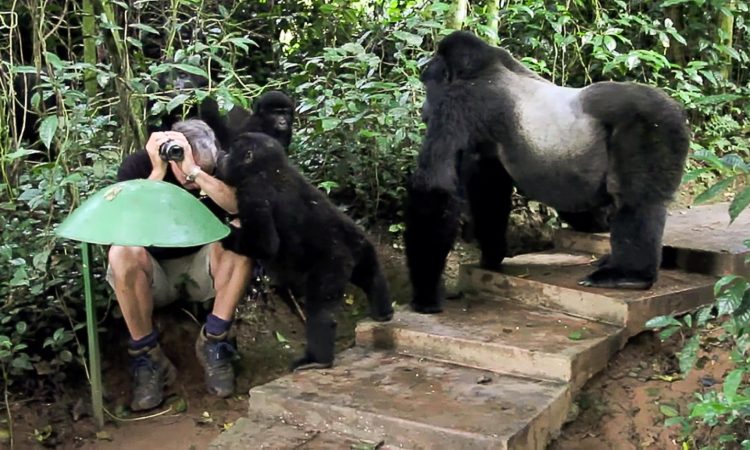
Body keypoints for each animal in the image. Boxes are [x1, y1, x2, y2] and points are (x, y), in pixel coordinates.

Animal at [217, 131, 394, 370]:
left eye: (230, 153)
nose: (221, 157)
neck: (267, 168)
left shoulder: (252, 191)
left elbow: (264, 244)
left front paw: (224, 232)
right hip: (360, 243)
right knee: (371, 275)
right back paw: (383, 311)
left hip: (332, 264)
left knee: (320, 310)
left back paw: (318, 359)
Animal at [408, 30, 692, 312]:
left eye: (427, 87)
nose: (423, 110)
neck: (479, 70)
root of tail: (678, 109)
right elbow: (488, 191)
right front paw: (492, 254)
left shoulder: (458, 103)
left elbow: (436, 190)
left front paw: (425, 295)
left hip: (653, 124)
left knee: (636, 202)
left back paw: (630, 275)